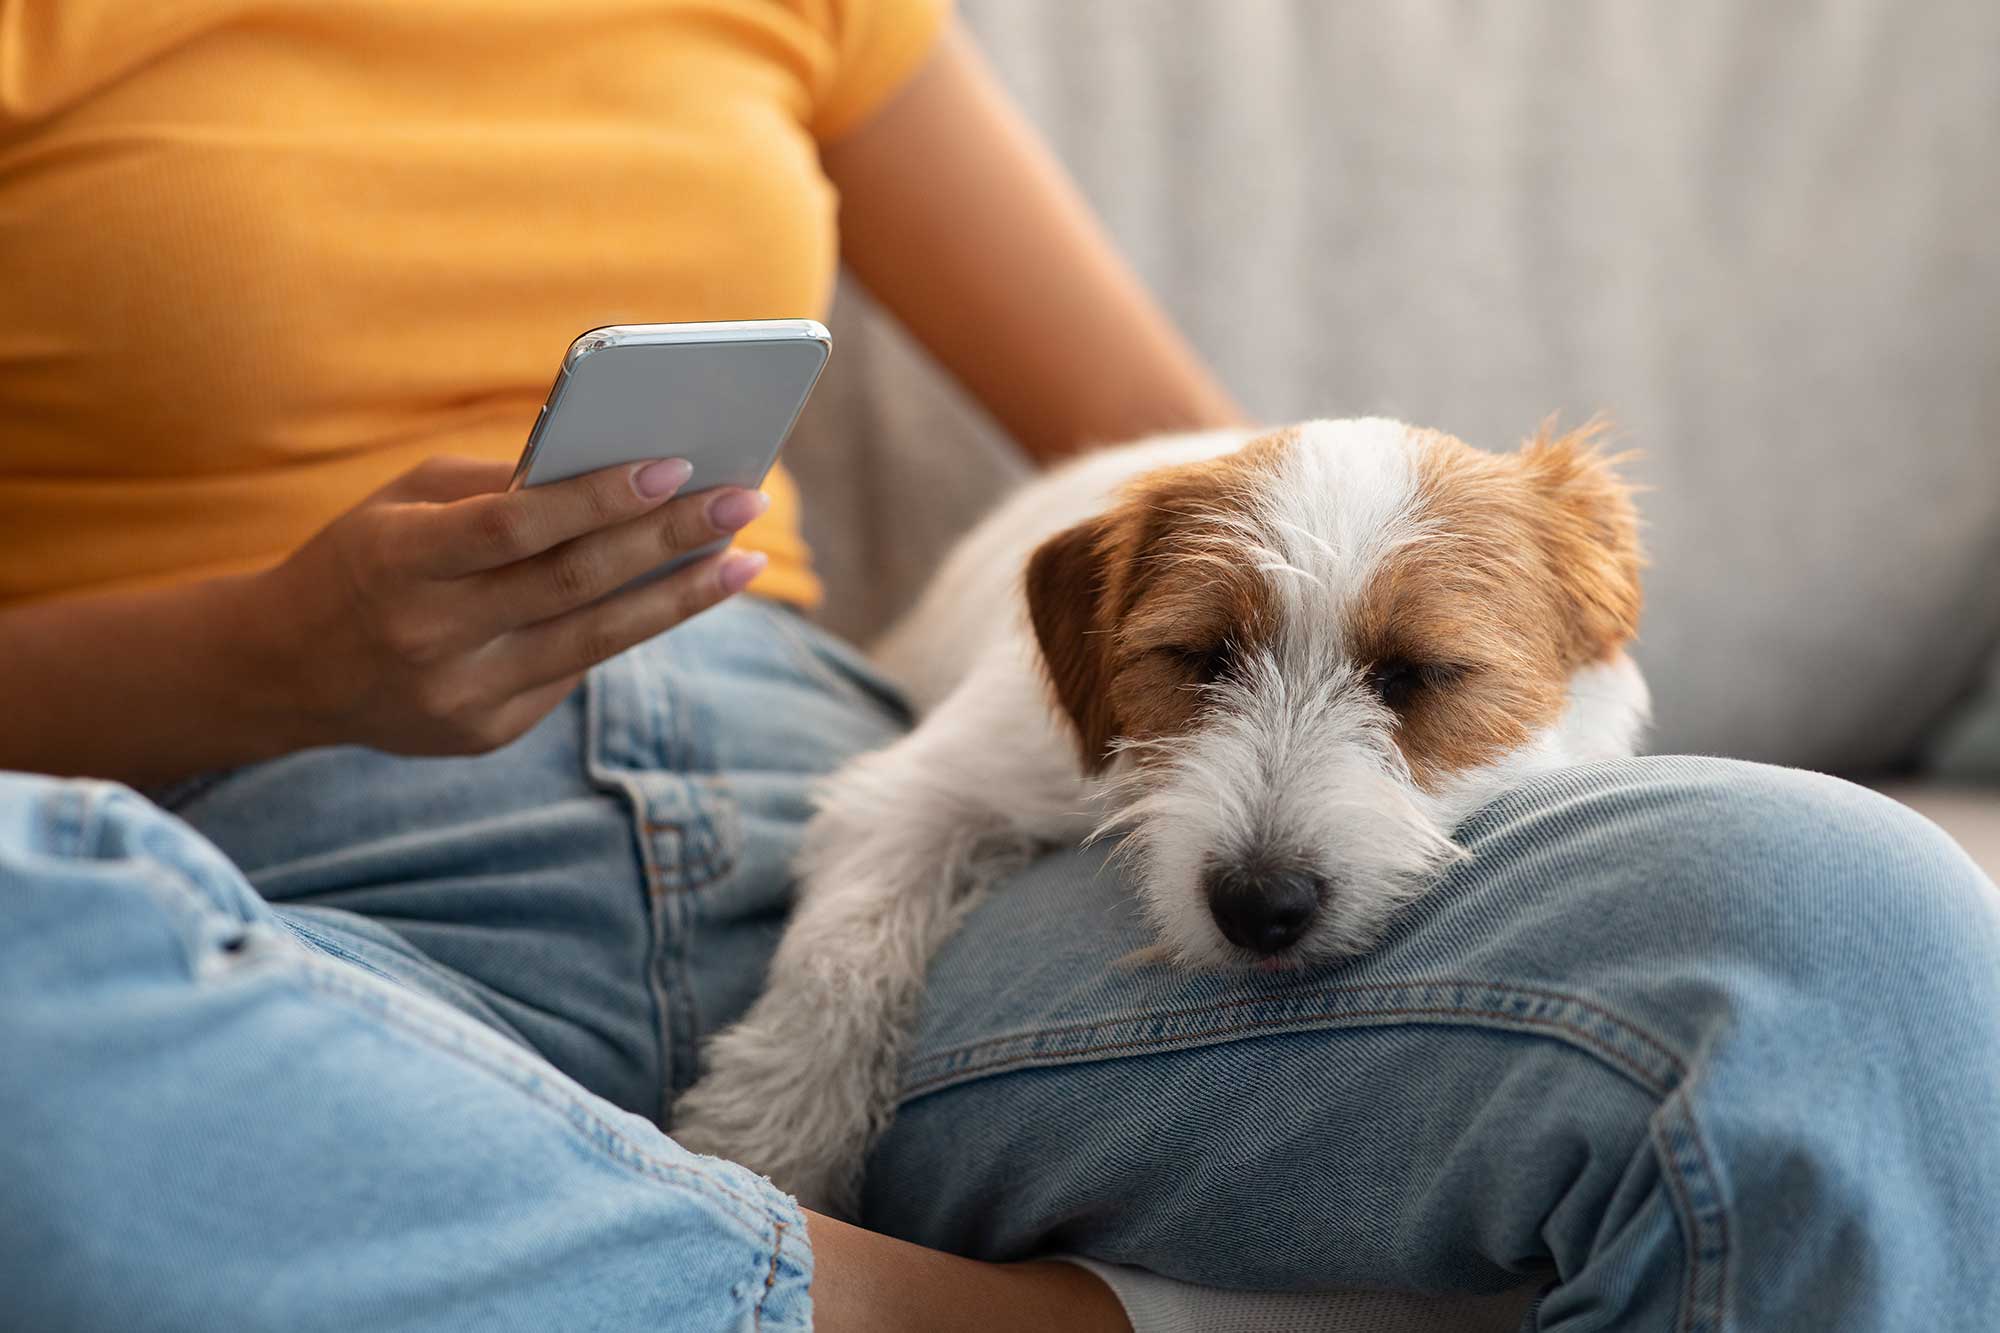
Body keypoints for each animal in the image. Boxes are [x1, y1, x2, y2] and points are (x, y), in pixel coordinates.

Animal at [664, 418, 1648, 1216]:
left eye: (1419, 673)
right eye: (1200, 656)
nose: (1258, 902)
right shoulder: (922, 787)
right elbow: (841, 955)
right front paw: (768, 1136)